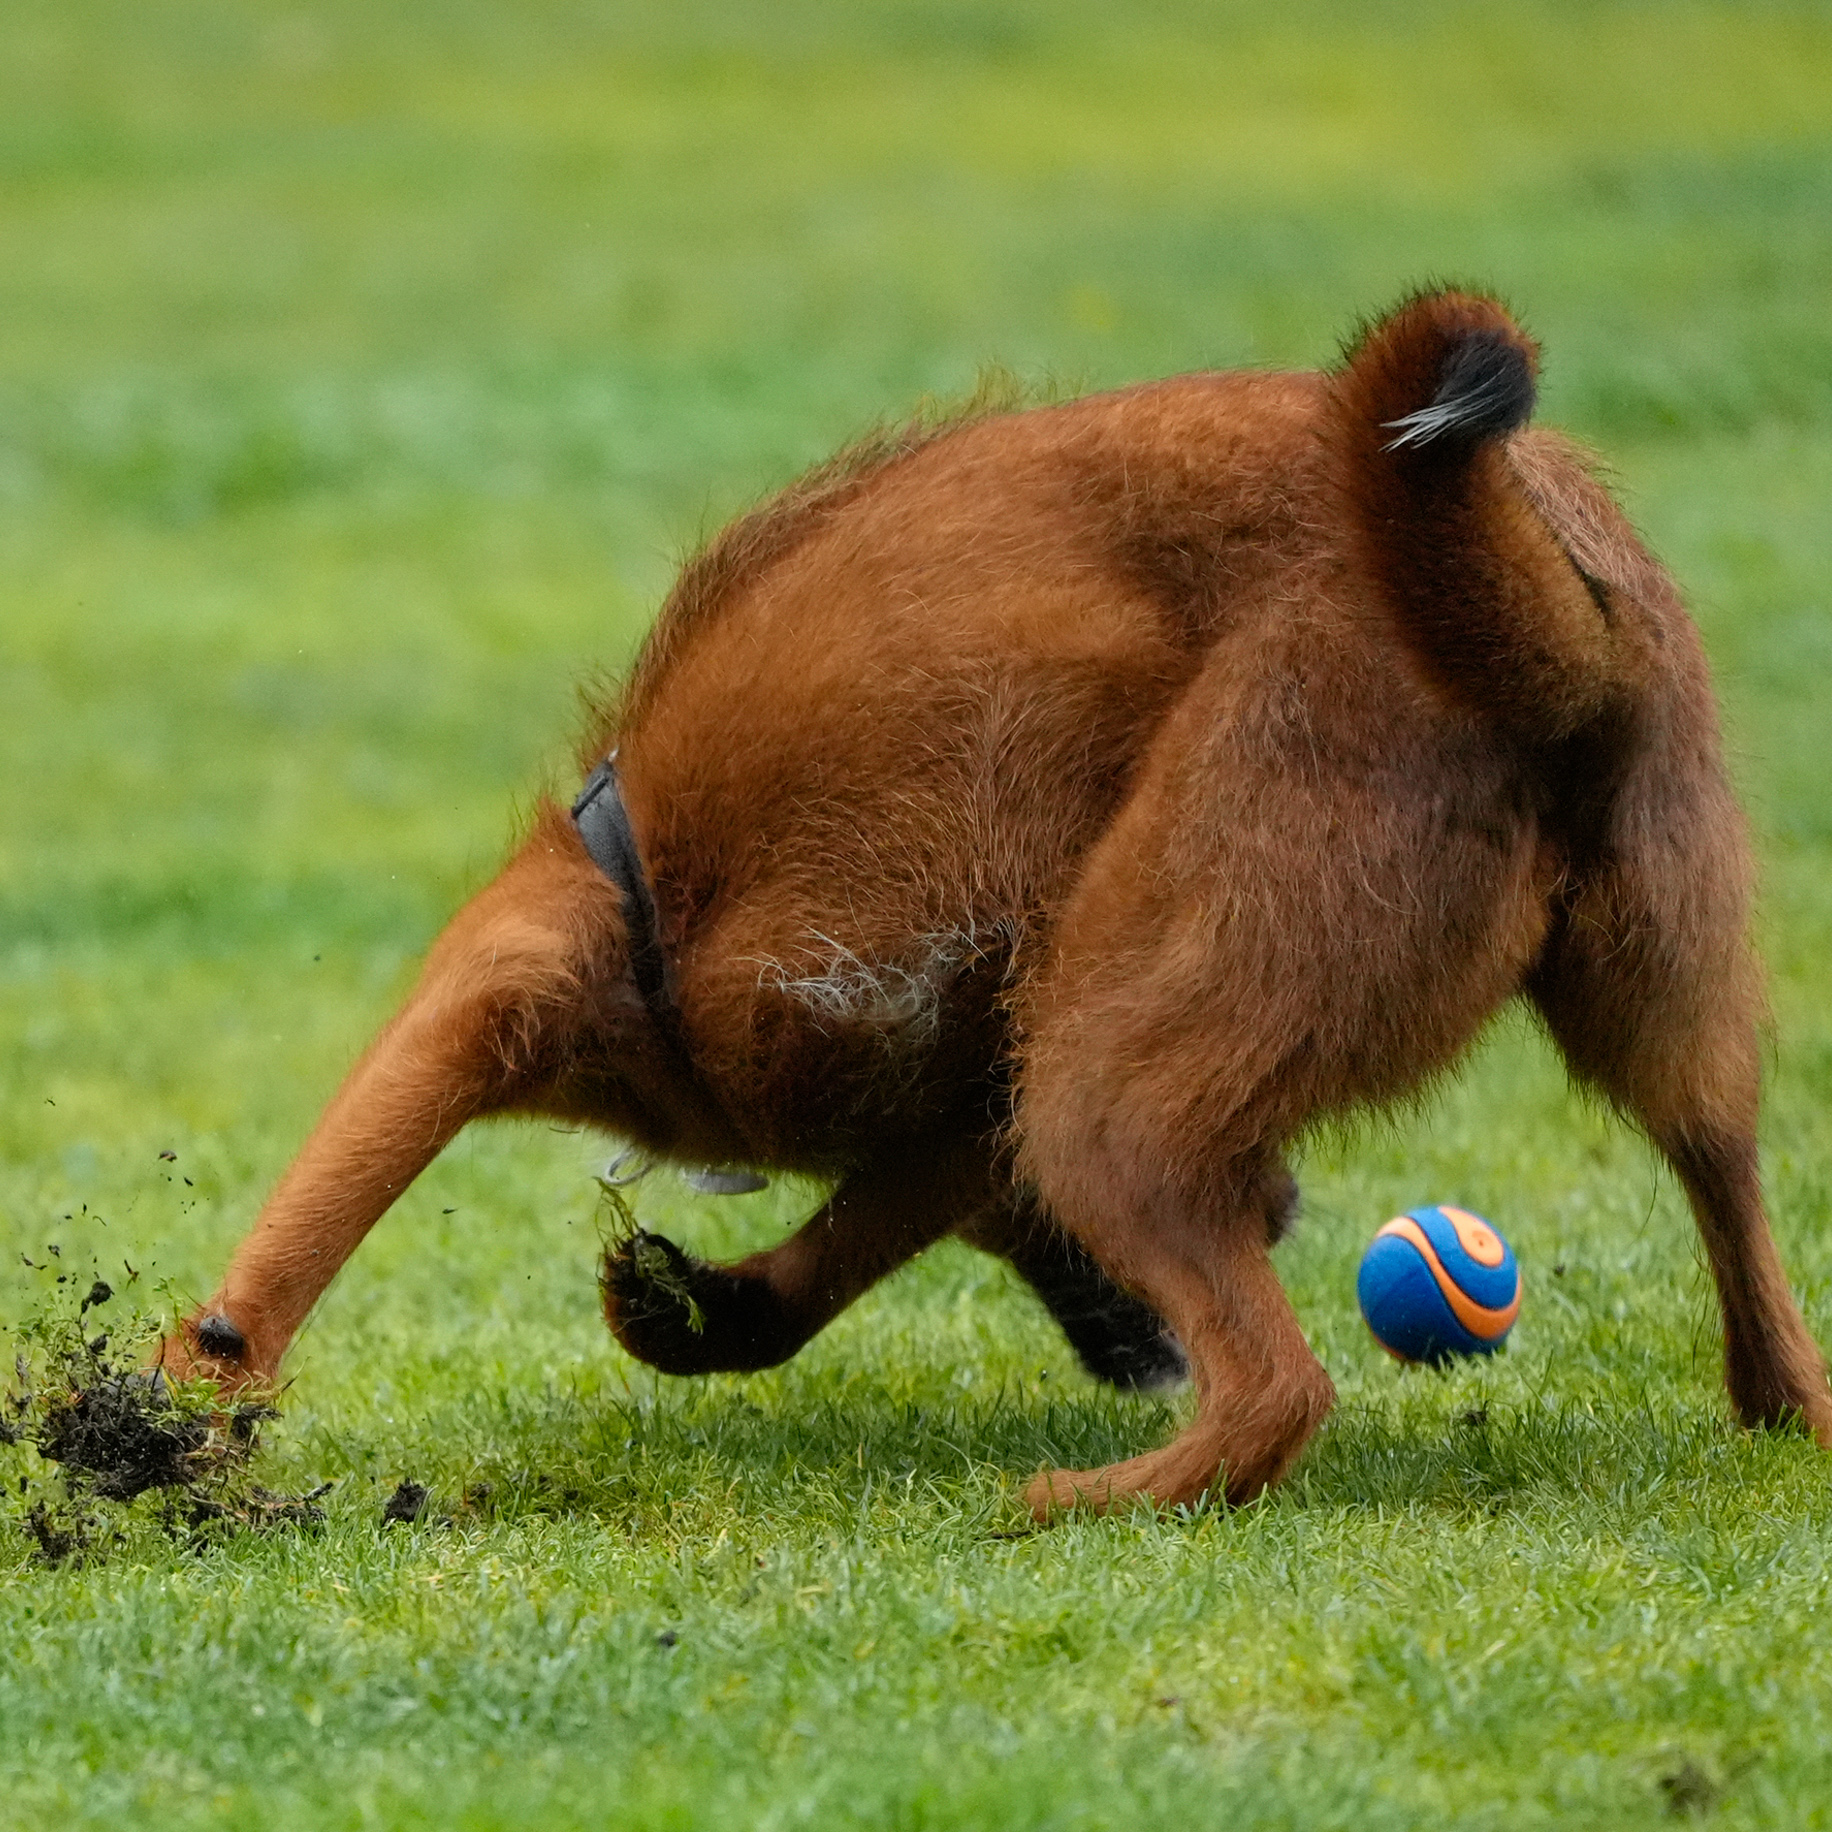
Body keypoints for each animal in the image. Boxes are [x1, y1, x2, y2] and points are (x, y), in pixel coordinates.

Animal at [161, 289, 1832, 1516]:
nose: (1282, 1203)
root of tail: (1532, 627)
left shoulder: (503, 996)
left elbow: (296, 1239)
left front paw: (174, 1398)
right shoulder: (976, 1108)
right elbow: (841, 1251)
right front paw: (718, 1309)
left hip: (1108, 1087)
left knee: (1279, 1394)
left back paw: (1091, 1500)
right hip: (1646, 1001)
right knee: (1726, 1183)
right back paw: (1779, 1404)